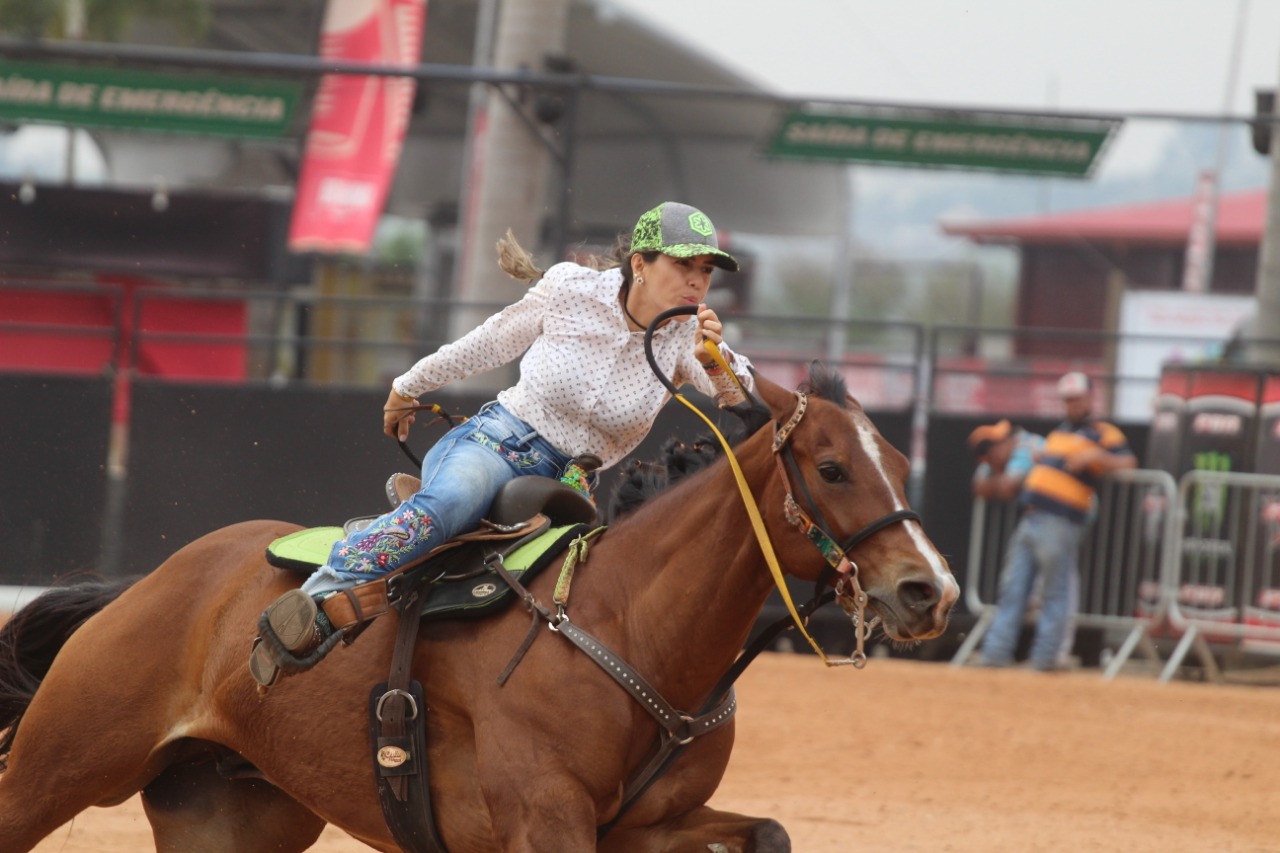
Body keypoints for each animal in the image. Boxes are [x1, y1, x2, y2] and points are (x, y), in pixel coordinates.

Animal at [0, 366, 952, 850]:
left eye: (904, 464)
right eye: (831, 467)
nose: (930, 589)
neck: (628, 625)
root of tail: (151, 587)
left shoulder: (648, 828)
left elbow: (770, 833)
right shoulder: (545, 822)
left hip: (232, 816)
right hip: (56, 765)